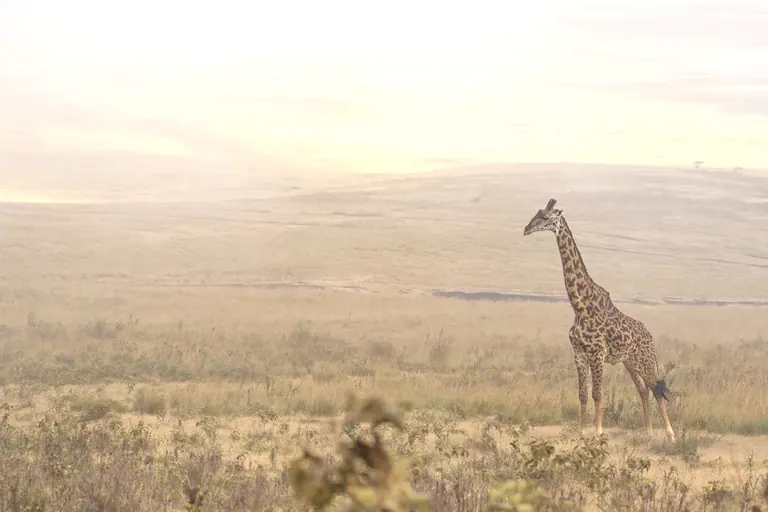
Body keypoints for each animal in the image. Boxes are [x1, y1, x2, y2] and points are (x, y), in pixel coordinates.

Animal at [524, 198, 675, 441]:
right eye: (536, 213)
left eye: (546, 217)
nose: (526, 229)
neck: (580, 305)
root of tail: (650, 337)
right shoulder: (579, 354)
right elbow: (582, 394)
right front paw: (581, 431)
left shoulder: (597, 354)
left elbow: (597, 393)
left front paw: (598, 431)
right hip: (629, 362)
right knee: (643, 390)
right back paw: (649, 432)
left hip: (645, 361)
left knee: (657, 391)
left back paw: (670, 435)